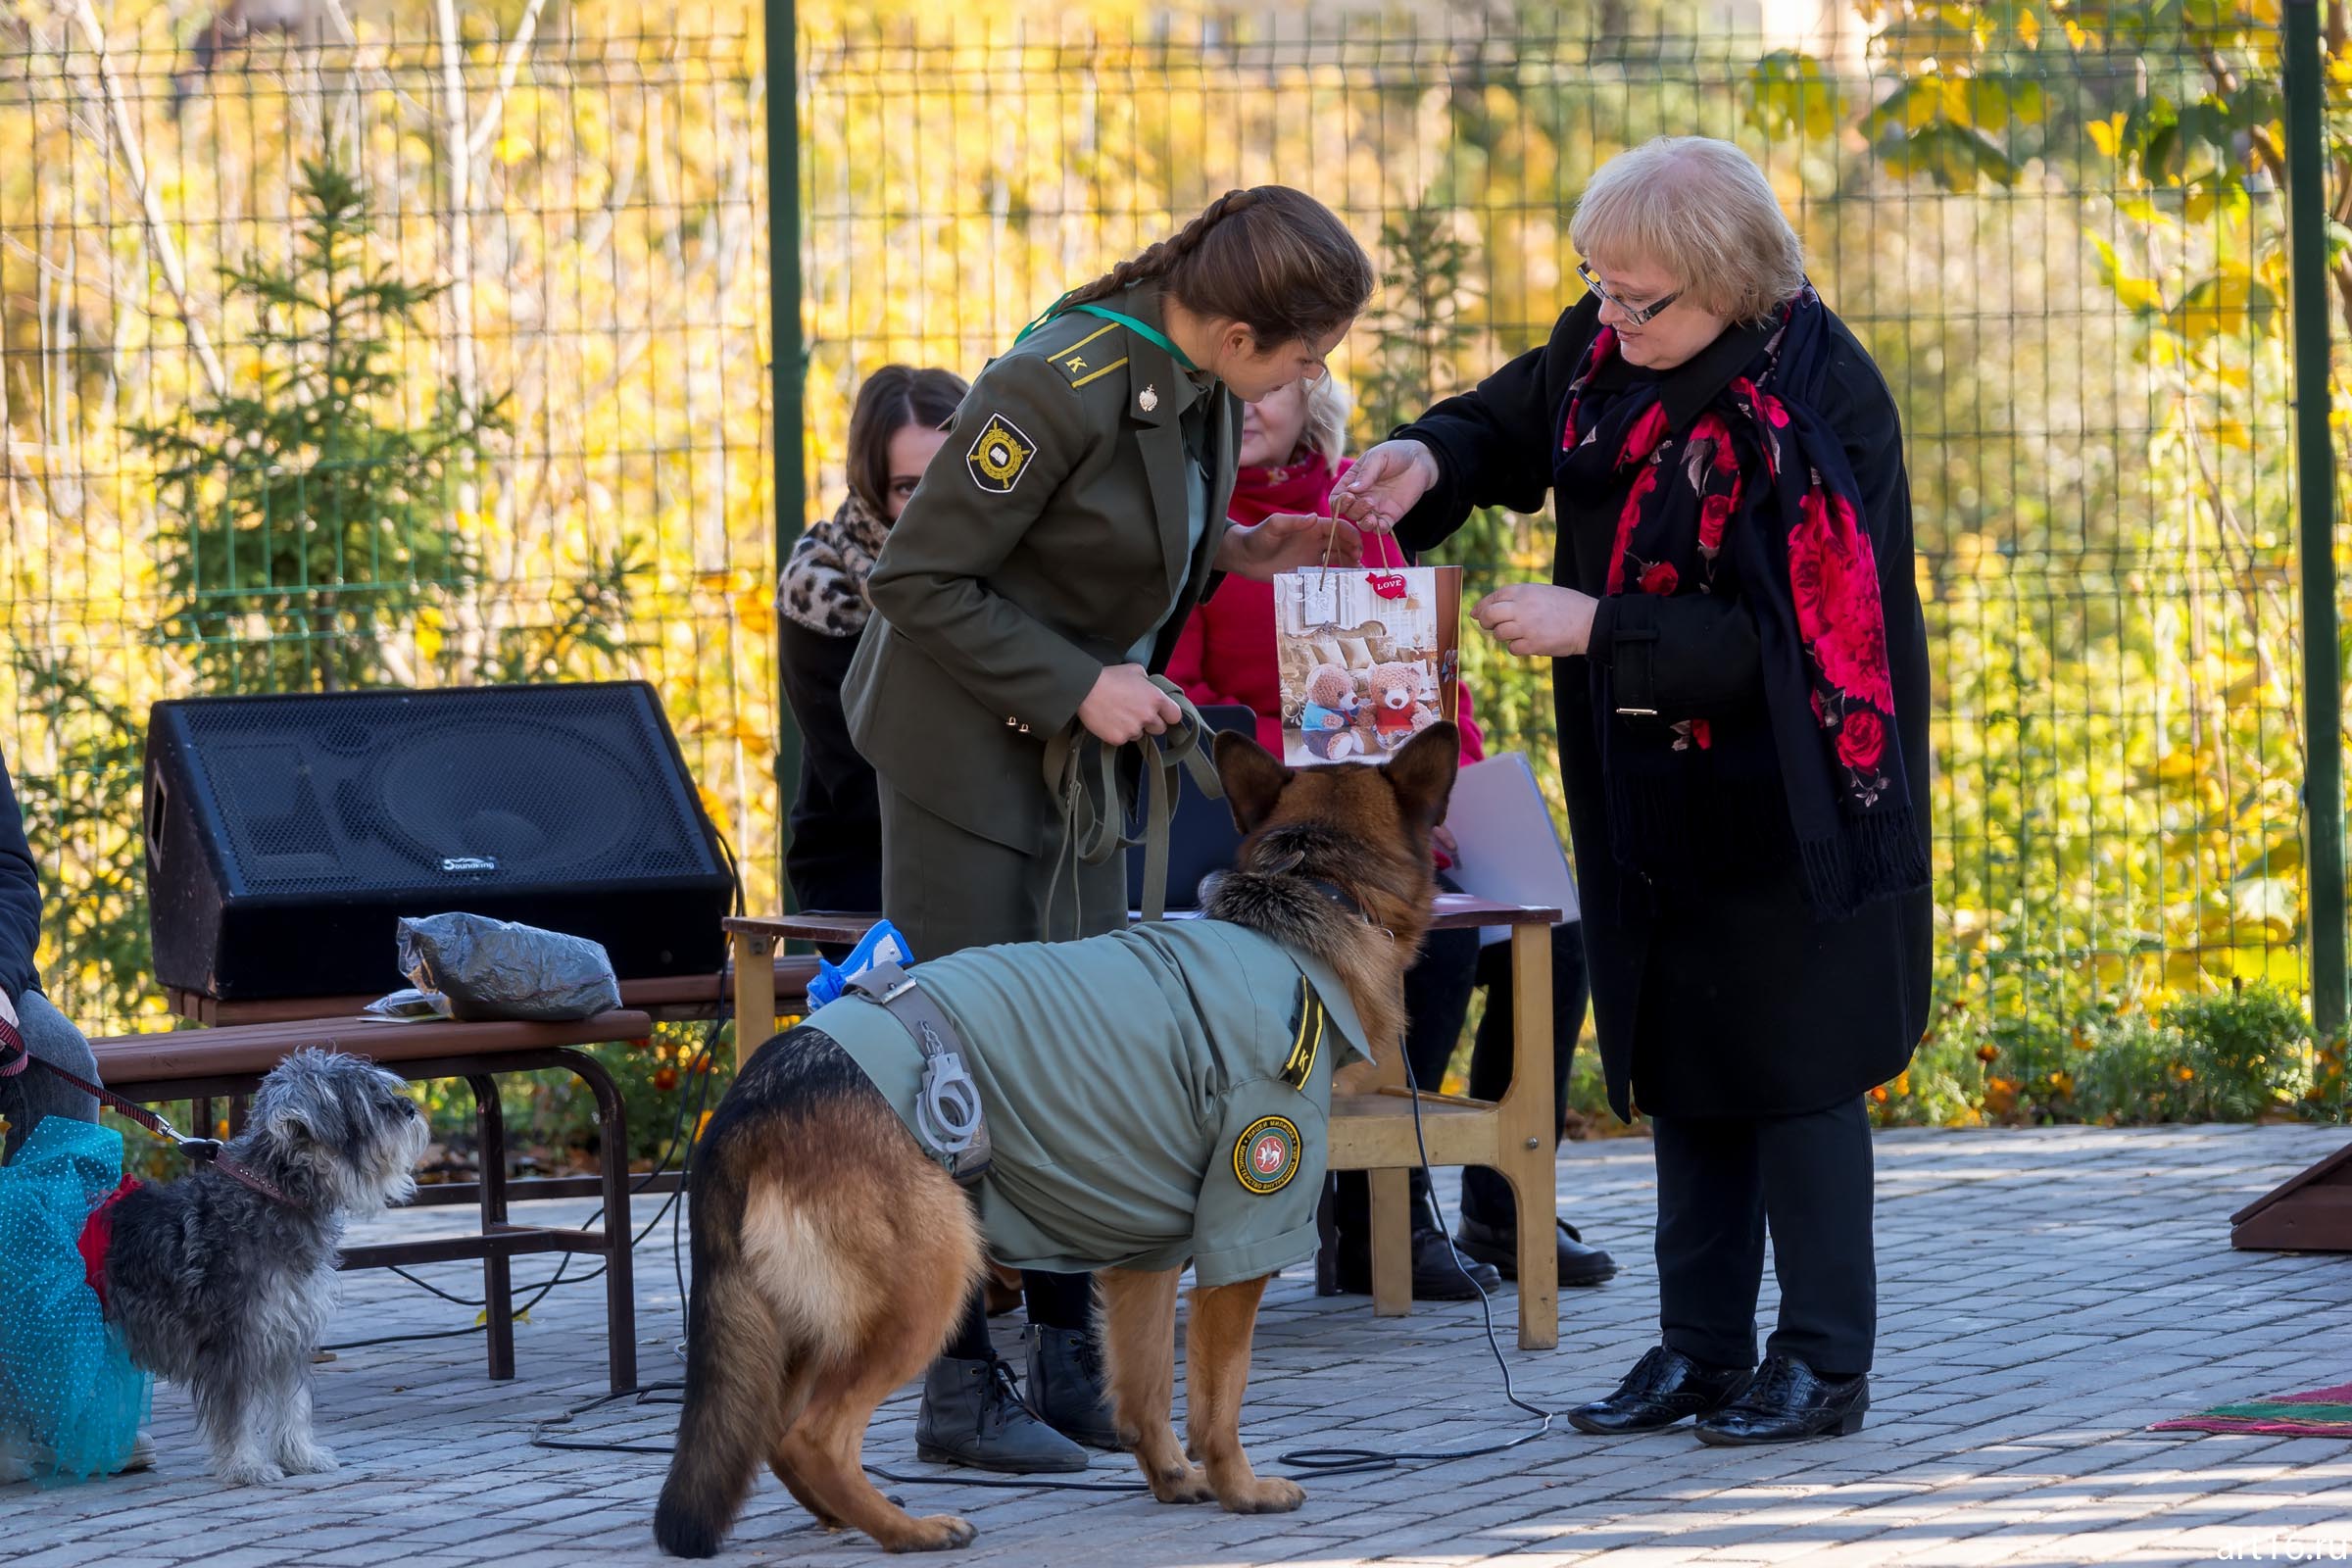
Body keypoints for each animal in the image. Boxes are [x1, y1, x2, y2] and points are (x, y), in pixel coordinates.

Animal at [106, 1053, 432, 1486]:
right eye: (362, 1101)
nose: (409, 1110)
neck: (273, 1192)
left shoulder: (291, 1331)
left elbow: (295, 1404)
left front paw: (301, 1456)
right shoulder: (235, 1340)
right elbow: (237, 1412)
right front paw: (245, 1465)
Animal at [649, 723, 1448, 1560]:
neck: (1313, 890)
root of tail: (757, 1086)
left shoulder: (1148, 1258)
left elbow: (1145, 1389)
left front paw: (1173, 1479)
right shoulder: (1246, 1224)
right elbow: (1218, 1394)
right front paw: (1238, 1487)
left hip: (809, 1324)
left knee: (776, 1435)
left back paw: (852, 1516)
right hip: (930, 1283)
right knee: (813, 1436)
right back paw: (908, 1530)